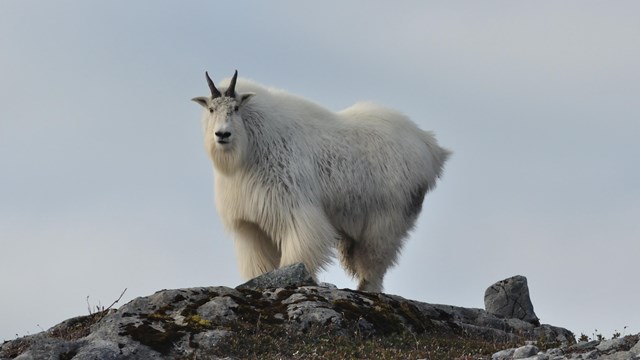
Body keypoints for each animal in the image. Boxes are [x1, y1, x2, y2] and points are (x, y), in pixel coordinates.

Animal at [192, 70, 448, 292]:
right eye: (212, 109)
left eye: (236, 108)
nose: (222, 134)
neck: (251, 147)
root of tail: (430, 147)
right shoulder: (250, 223)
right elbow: (260, 263)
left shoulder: (294, 207)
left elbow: (299, 250)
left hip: (388, 217)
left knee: (376, 259)